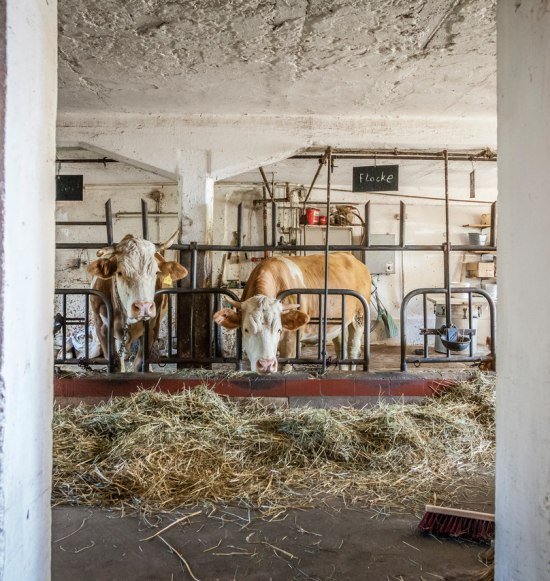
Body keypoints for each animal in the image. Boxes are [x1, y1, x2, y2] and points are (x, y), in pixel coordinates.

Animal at [87, 231, 189, 372]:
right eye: (120, 272)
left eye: (156, 272)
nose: (143, 307)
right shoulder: (102, 327)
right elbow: (115, 363)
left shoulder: (152, 327)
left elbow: (140, 363)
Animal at [213, 253, 374, 372]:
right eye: (246, 329)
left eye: (279, 329)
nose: (265, 365)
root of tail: (354, 259)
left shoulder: (290, 342)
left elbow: (285, 366)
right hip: (337, 323)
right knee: (341, 347)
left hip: (359, 317)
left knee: (353, 347)